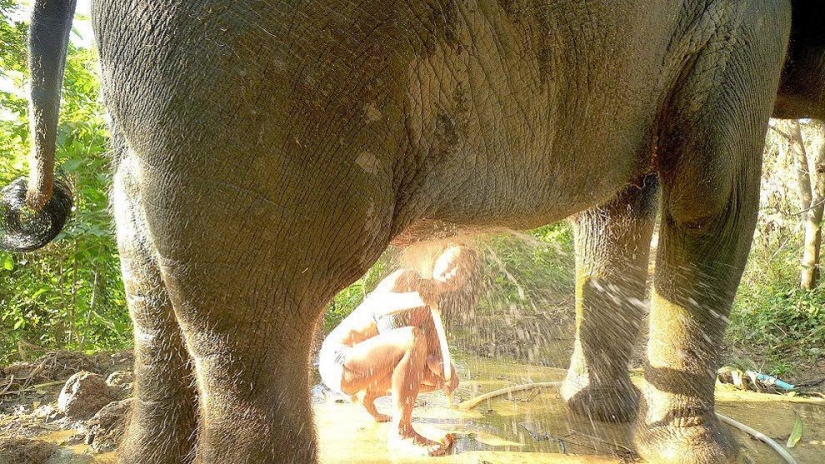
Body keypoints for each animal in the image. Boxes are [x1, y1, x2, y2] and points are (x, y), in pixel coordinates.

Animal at [2, 0, 822, 463]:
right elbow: (712, 195)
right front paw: (701, 452)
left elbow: (622, 203)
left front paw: (600, 415)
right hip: (242, 77)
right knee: (256, 333)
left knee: (155, 304)